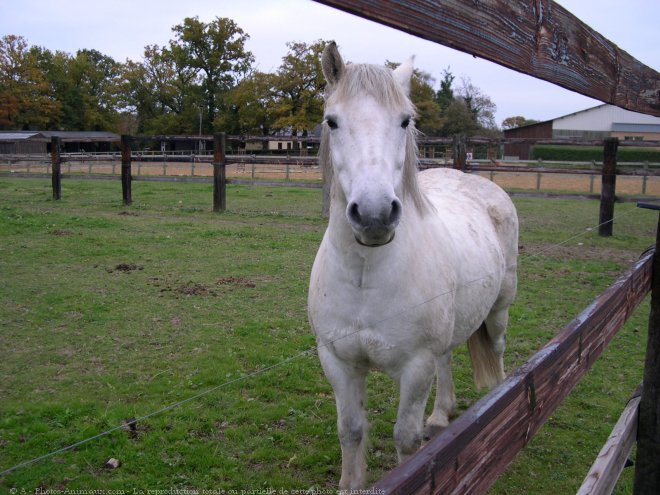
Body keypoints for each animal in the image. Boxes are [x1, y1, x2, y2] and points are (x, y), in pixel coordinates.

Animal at [306, 42, 520, 492]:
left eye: (405, 121)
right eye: (332, 121)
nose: (374, 215)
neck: (365, 277)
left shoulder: (415, 367)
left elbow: (406, 437)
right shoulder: (338, 362)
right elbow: (350, 431)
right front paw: (350, 483)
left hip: (499, 310)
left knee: (496, 350)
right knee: (447, 360)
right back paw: (440, 415)